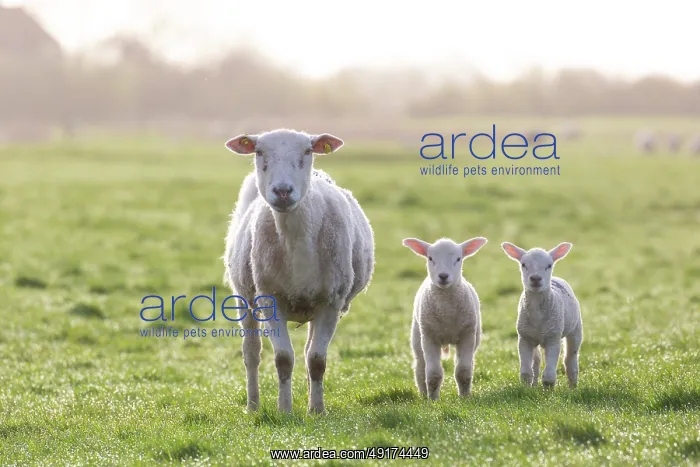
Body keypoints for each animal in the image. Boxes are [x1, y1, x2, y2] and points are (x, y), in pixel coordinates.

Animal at [223, 129, 375, 414]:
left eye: (307, 151)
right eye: (259, 152)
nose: (282, 191)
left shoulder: (331, 302)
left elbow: (316, 360)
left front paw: (317, 410)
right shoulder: (269, 299)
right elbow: (283, 359)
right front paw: (284, 410)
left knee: (307, 352)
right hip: (244, 296)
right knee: (251, 353)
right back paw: (253, 405)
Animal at [402, 236, 488, 400]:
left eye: (458, 259)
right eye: (430, 258)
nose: (443, 276)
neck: (446, 312)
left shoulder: (467, 335)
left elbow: (463, 371)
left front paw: (464, 397)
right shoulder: (429, 337)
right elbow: (433, 374)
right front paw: (433, 400)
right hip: (417, 336)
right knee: (420, 366)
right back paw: (423, 394)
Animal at [501, 242, 583, 389]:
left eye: (549, 265)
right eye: (523, 264)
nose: (536, 278)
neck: (537, 314)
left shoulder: (553, 338)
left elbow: (549, 375)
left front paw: (548, 390)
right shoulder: (524, 338)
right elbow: (526, 372)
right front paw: (526, 388)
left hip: (576, 328)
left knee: (570, 359)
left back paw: (572, 387)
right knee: (536, 362)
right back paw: (534, 385)